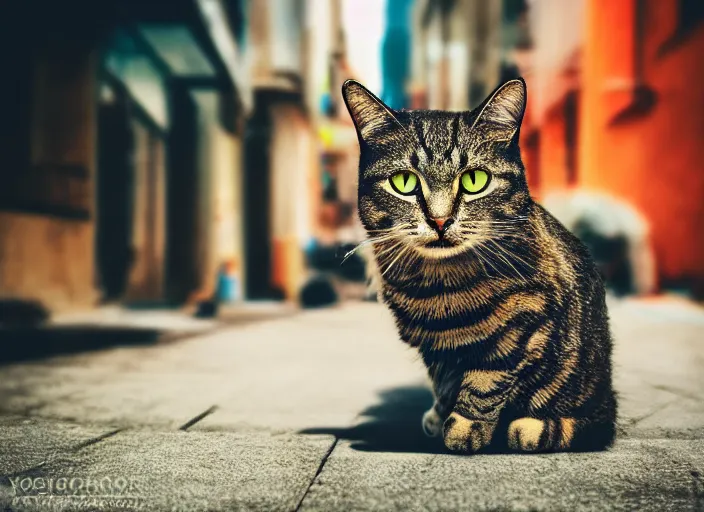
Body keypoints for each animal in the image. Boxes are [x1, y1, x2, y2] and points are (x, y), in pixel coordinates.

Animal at [340, 78, 616, 454]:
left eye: (474, 180)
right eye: (404, 183)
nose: (440, 220)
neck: (440, 286)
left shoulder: (523, 323)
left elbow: (486, 380)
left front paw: (464, 428)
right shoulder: (435, 349)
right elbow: (444, 382)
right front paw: (442, 416)